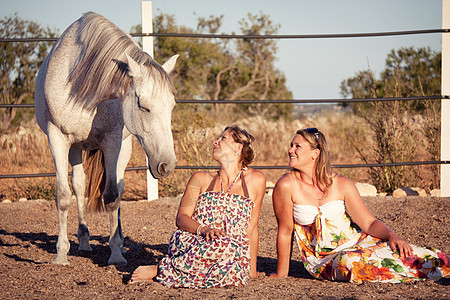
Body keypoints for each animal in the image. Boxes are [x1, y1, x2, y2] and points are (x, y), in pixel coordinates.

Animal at [34, 11, 178, 264]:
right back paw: (83, 241)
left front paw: (116, 254)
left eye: (171, 106)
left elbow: (111, 195)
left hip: (124, 147)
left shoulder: (113, 141)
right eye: (143, 106)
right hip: (75, 147)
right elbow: (63, 195)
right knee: (79, 186)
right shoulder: (57, 137)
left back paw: (116, 242)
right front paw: (61, 254)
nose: (166, 165)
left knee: (117, 187)